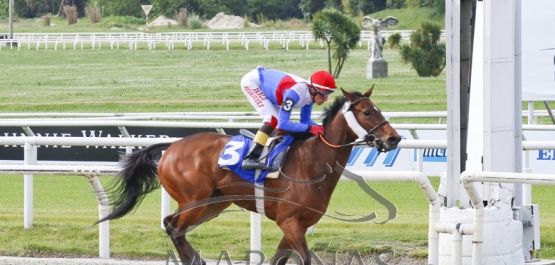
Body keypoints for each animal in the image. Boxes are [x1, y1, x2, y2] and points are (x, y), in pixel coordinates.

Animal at [99, 87, 400, 264]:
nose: (394, 138)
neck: (313, 161)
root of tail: (172, 146)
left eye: (379, 109)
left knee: (174, 226)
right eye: (367, 112)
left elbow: (280, 259)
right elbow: (304, 259)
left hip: (214, 203)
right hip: (194, 200)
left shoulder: (296, 225)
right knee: (173, 226)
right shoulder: (290, 222)